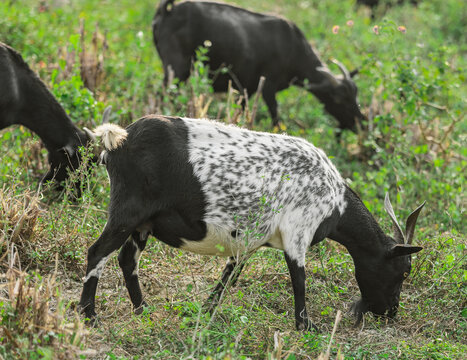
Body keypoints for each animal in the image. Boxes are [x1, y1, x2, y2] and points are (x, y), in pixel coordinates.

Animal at [78, 115, 426, 330]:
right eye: (402, 271)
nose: (391, 312)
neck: (334, 200)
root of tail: (118, 140)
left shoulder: (247, 239)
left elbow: (229, 275)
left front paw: (205, 313)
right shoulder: (298, 231)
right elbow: (299, 278)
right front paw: (305, 325)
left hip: (144, 223)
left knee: (127, 259)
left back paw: (143, 310)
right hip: (127, 211)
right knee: (97, 253)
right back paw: (89, 316)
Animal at [153, 0, 366, 132]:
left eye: (355, 95)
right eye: (339, 99)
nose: (361, 124)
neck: (294, 47)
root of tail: (167, 11)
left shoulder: (246, 89)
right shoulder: (268, 86)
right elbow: (275, 116)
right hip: (176, 68)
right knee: (163, 94)